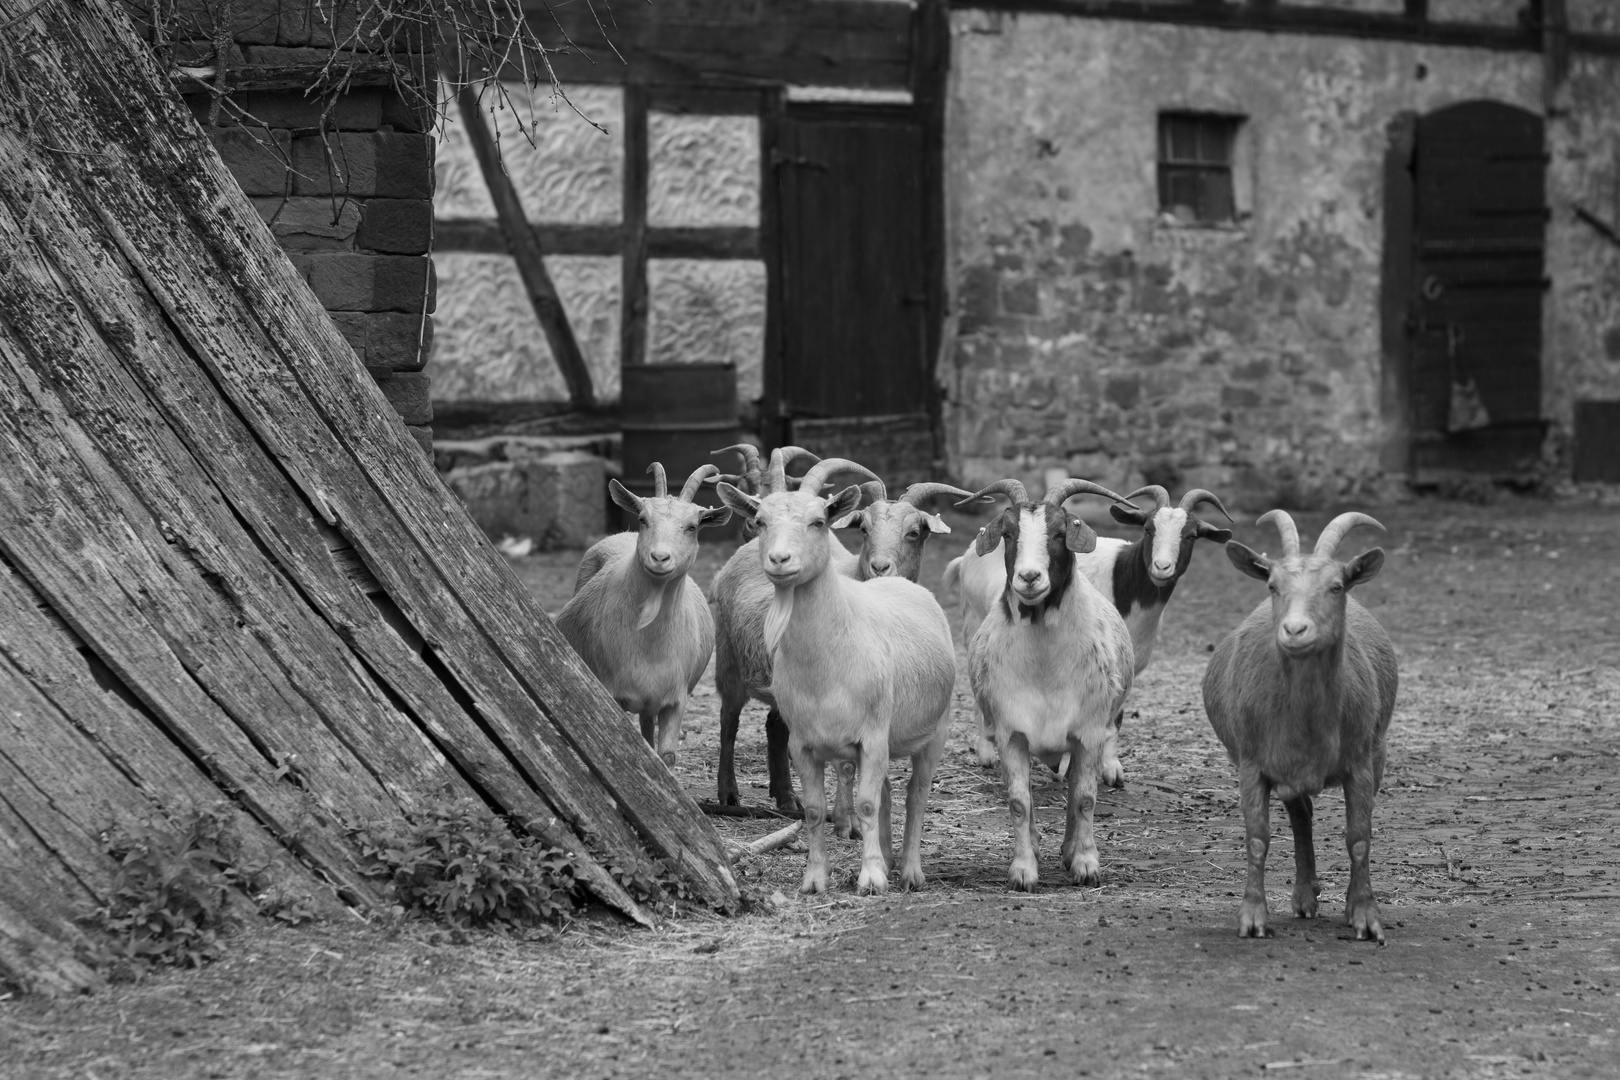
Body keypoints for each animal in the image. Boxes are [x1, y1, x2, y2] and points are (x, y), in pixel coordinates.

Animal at [557, 459, 735, 764]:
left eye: (692, 527)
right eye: (643, 518)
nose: (660, 558)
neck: (649, 643)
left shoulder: (675, 698)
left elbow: (666, 755)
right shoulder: (611, 691)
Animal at [716, 453, 952, 893]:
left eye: (819, 521)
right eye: (761, 519)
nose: (779, 559)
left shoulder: (870, 736)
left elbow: (867, 800)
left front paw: (870, 873)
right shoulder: (806, 743)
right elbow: (814, 808)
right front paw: (815, 877)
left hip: (935, 731)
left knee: (916, 793)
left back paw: (908, 870)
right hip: (729, 664)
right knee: (729, 722)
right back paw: (730, 794)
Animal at [946, 485, 1231, 780]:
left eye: (1192, 535)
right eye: (1148, 529)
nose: (1162, 567)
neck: (1123, 581)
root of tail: (968, 553)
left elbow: (1114, 715)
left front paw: (1109, 767)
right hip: (973, 622)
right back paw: (986, 754)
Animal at [965, 476, 1134, 893]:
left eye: (1060, 532)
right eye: (1008, 533)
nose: (1029, 578)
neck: (1044, 669)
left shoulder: (1089, 732)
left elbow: (1085, 799)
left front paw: (1086, 864)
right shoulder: (1011, 733)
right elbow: (1019, 803)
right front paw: (1023, 870)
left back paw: (1071, 850)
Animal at [1198, 511, 1399, 939]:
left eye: (1336, 586)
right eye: (1273, 585)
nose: (1294, 630)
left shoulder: (1361, 763)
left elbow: (1359, 839)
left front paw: (1364, 915)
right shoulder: (1253, 764)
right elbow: (1257, 839)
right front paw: (1252, 917)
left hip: (1378, 750)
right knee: (1301, 814)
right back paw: (1305, 897)